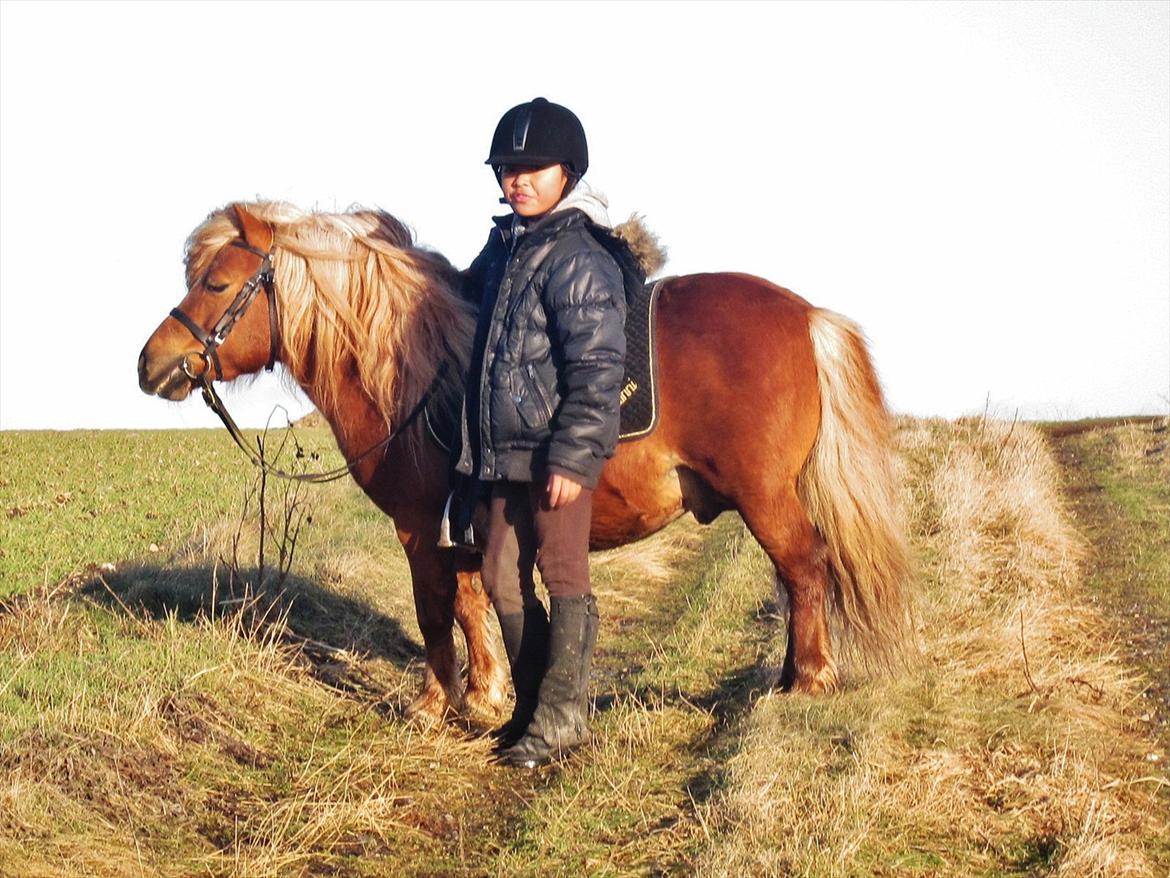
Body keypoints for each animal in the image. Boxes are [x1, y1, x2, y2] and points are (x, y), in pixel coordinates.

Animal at [137, 201, 911, 723]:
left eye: (215, 283)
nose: (150, 364)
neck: (413, 370)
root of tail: (807, 315)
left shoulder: (419, 528)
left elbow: (434, 612)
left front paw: (435, 704)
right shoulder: (462, 529)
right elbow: (474, 604)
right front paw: (487, 694)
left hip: (765, 498)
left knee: (805, 569)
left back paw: (807, 681)